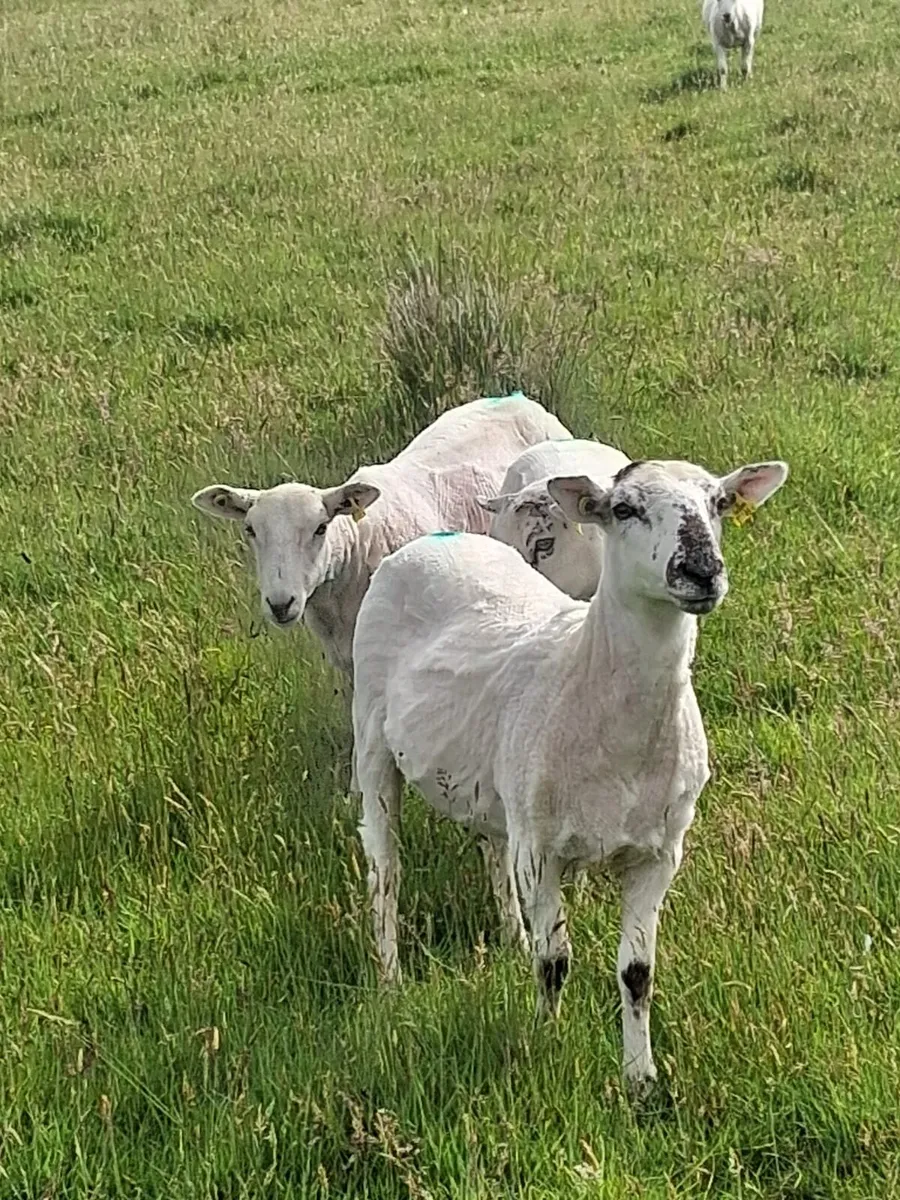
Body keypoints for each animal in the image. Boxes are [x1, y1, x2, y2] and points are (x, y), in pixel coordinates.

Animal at [352, 456, 788, 1092]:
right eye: (624, 509)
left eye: (719, 504)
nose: (701, 571)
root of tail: (435, 539)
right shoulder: (542, 853)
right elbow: (554, 962)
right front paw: (546, 1044)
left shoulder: (659, 855)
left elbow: (637, 973)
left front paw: (641, 1079)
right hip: (370, 737)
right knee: (385, 871)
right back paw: (389, 980)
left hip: (497, 783)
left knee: (491, 847)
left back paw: (509, 937)